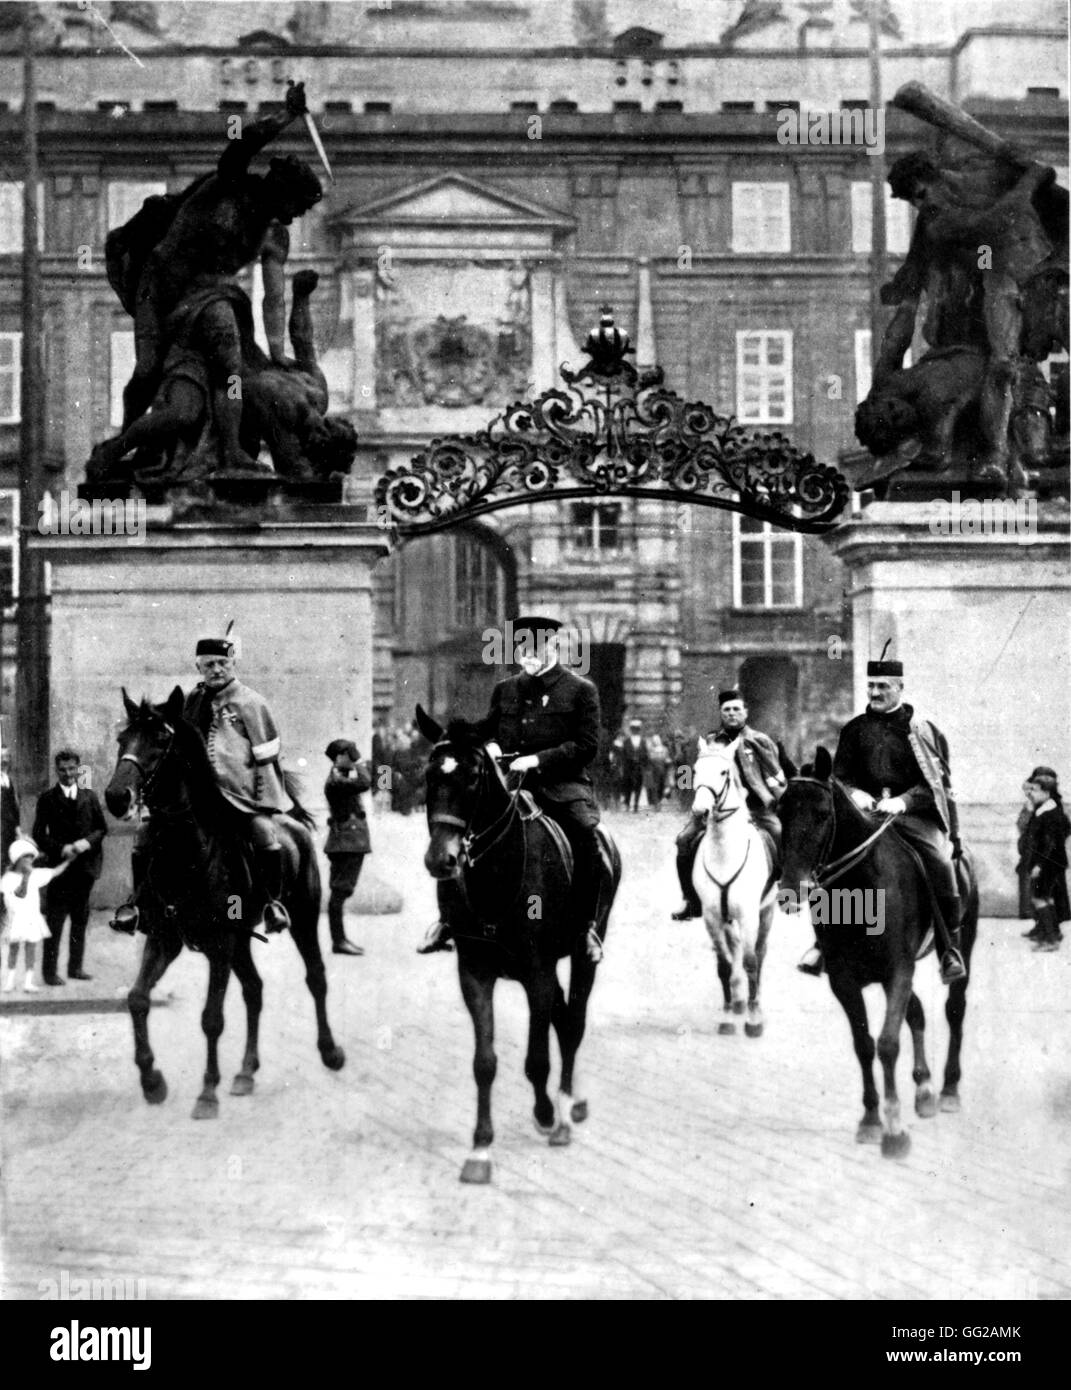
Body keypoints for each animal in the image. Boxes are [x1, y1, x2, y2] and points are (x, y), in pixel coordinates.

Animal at [105, 689, 343, 1123]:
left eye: (160, 740)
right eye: (122, 740)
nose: (117, 797)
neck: (185, 852)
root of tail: (291, 823)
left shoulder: (220, 944)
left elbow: (211, 1018)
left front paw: (206, 1094)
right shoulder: (165, 938)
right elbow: (137, 998)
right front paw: (152, 1081)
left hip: (301, 917)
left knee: (315, 977)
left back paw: (330, 1051)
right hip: (242, 942)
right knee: (254, 989)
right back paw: (246, 1072)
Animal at [416, 706, 619, 1184]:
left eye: (473, 776)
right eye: (430, 774)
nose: (441, 860)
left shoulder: (537, 972)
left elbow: (537, 1058)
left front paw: (546, 1114)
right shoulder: (475, 972)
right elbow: (484, 1062)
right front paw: (480, 1149)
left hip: (583, 952)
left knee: (573, 1022)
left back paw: (564, 1107)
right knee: (563, 1018)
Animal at [691, 739, 772, 1034]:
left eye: (724, 772)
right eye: (695, 769)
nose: (700, 812)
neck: (725, 853)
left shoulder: (749, 916)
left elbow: (751, 961)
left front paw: (754, 1020)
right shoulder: (712, 917)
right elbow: (724, 965)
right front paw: (727, 1018)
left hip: (766, 912)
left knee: (759, 953)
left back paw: (752, 1004)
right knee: (735, 948)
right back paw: (737, 1001)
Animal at [772, 750, 977, 1162]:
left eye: (823, 813)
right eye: (781, 810)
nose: (791, 890)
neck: (861, 888)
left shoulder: (898, 970)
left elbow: (887, 1044)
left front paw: (894, 1131)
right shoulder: (845, 980)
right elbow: (864, 1044)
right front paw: (870, 1120)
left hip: (960, 947)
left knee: (954, 1010)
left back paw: (948, 1089)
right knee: (916, 1012)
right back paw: (925, 1090)